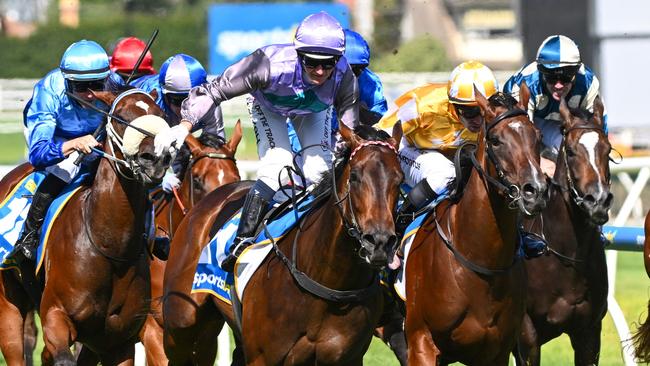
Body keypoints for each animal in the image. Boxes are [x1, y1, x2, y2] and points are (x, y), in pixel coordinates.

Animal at [0, 87, 173, 364]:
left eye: (160, 115)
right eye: (121, 117)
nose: (155, 159)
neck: (109, 246)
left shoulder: (118, 340)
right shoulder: (55, 317)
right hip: (8, 304)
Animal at [162, 123, 402, 366]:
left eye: (399, 180)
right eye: (354, 176)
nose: (379, 242)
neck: (328, 279)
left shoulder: (349, 357)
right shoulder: (262, 357)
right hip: (182, 326)